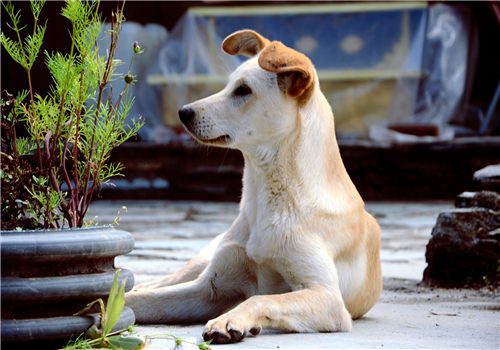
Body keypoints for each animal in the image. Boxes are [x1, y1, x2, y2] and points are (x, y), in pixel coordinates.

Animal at [126, 30, 382, 344]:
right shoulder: (209, 287)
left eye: (243, 90)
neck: (265, 198)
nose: (182, 112)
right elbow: (136, 301)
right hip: (204, 259)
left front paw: (230, 320)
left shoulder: (327, 298)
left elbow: (262, 298)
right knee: (166, 279)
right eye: (229, 85)